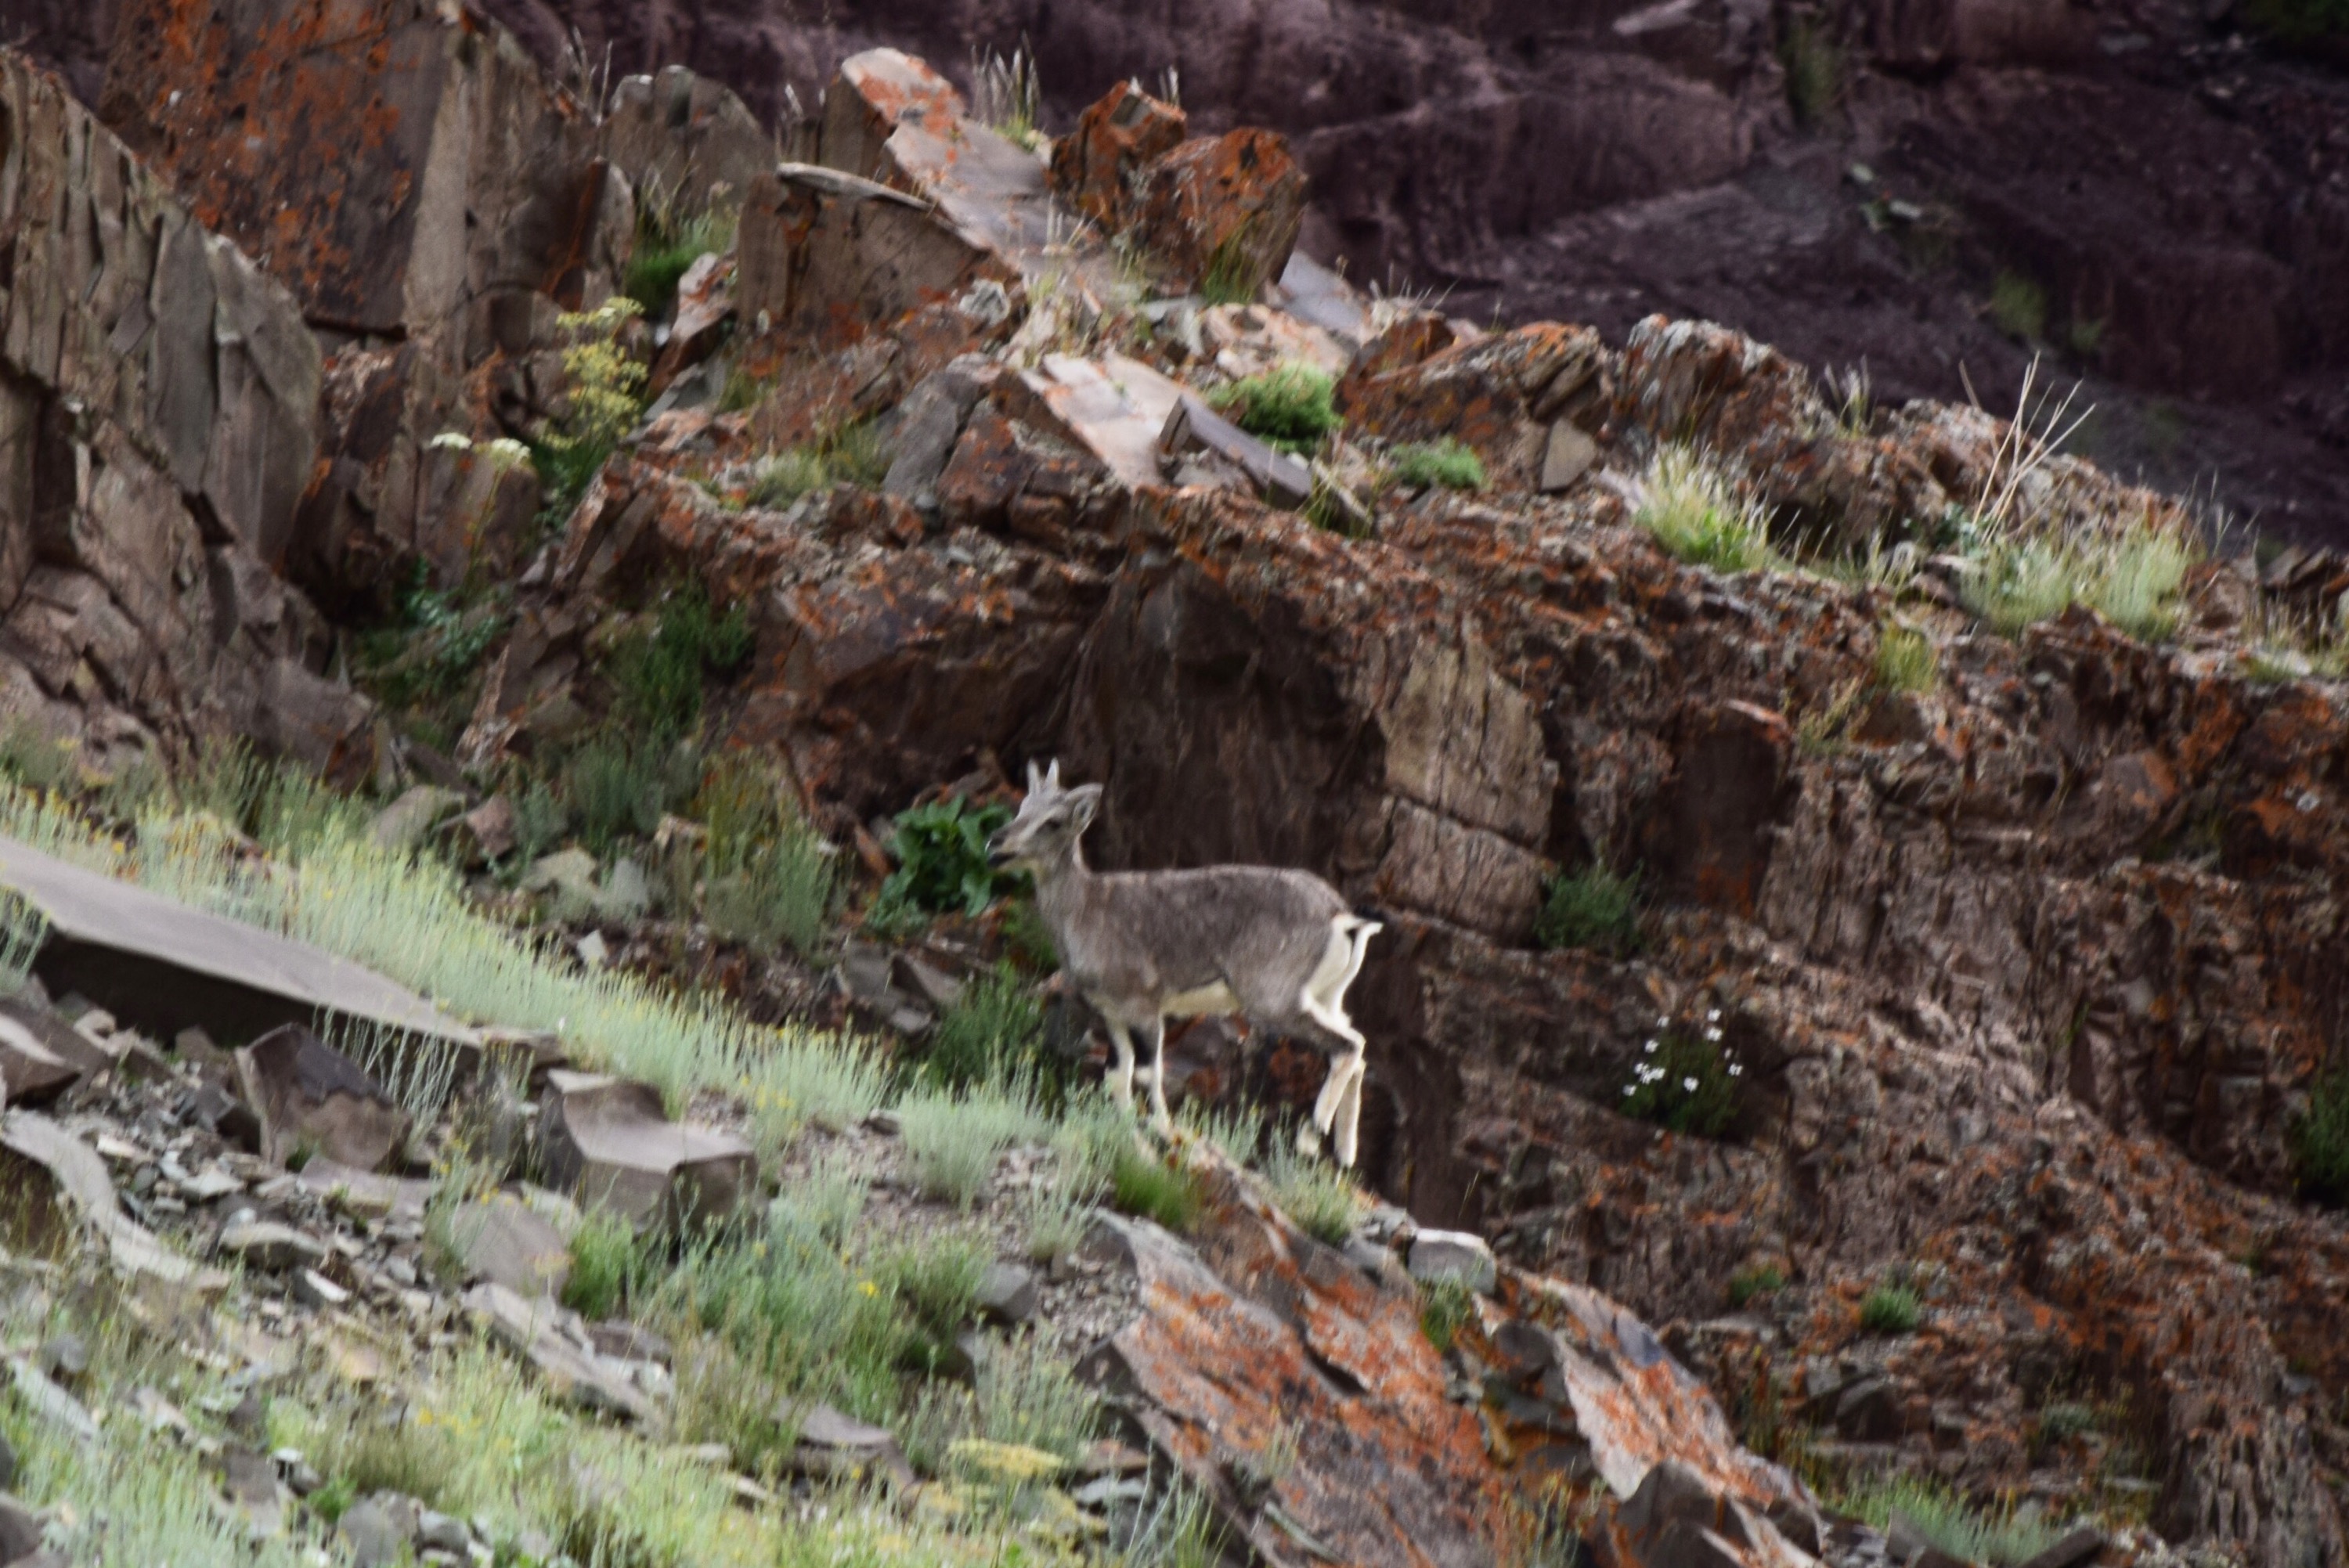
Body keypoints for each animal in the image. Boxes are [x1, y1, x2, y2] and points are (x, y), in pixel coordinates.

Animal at [985, 761, 1382, 1168]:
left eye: (1052, 821)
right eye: (1023, 808)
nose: (996, 845)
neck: (1086, 911)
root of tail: (1343, 919)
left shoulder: (1145, 1008)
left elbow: (1147, 1073)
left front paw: (1163, 1134)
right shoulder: (1112, 1015)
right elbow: (1117, 1075)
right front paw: (1134, 1140)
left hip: (1274, 999)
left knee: (1347, 1046)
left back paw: (1309, 1138)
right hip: (1326, 997)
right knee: (1356, 1047)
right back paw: (1344, 1153)